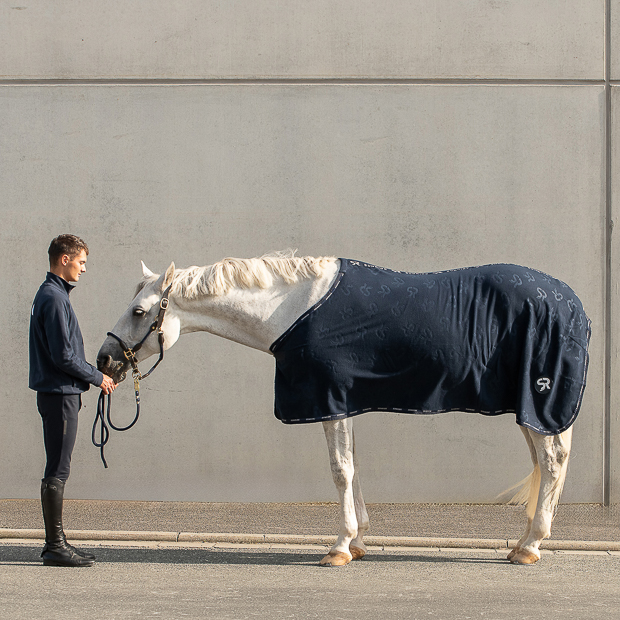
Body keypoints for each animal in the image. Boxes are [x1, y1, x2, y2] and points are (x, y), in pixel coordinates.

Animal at [97, 252, 592, 568]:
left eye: (139, 311)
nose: (103, 360)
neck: (292, 308)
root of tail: (571, 301)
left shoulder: (329, 399)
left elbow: (340, 470)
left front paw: (338, 547)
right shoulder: (345, 401)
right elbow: (352, 466)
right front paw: (357, 541)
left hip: (540, 402)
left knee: (552, 462)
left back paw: (531, 546)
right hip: (529, 410)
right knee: (545, 462)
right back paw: (523, 542)